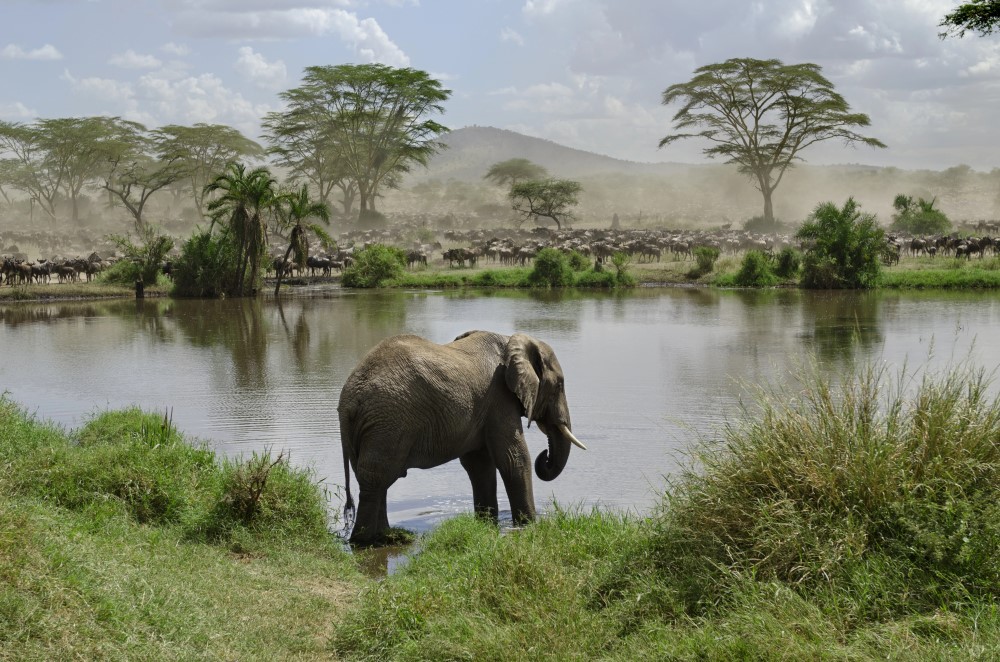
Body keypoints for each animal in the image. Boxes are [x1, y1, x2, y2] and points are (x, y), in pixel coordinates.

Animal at [338, 330, 584, 548]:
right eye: (559, 385)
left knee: (374, 478)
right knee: (377, 476)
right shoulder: (499, 398)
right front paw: (529, 526)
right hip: (388, 421)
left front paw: (486, 524)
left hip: (373, 428)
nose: (546, 455)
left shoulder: (484, 407)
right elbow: (514, 458)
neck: (512, 340)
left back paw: (386, 536)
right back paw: (366, 541)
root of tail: (349, 399)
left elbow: (479, 465)